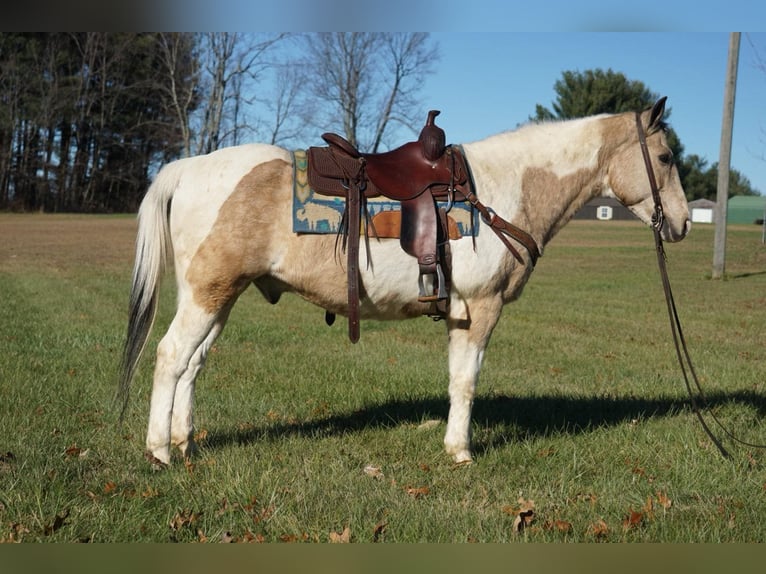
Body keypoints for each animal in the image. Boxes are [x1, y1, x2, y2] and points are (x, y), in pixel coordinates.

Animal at [118, 98, 688, 468]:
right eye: (664, 158)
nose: (681, 224)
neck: (503, 189)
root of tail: (188, 168)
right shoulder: (482, 308)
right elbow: (467, 381)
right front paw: (461, 452)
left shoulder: (461, 312)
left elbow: (457, 379)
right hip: (207, 293)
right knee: (171, 356)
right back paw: (160, 451)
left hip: (219, 296)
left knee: (193, 364)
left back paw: (186, 442)